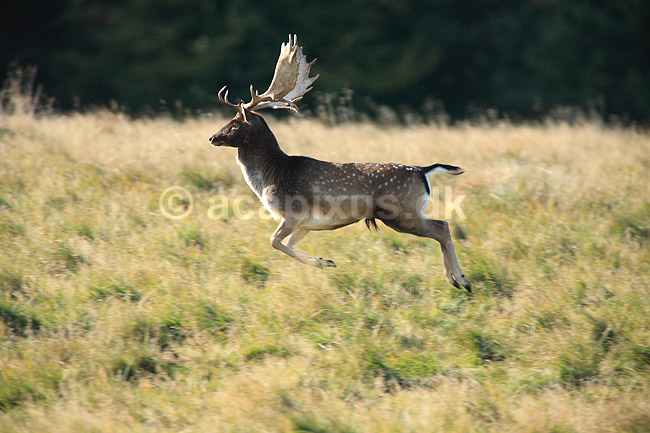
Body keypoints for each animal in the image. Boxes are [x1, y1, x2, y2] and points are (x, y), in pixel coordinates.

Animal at [209, 35, 471, 292]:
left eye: (234, 123)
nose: (212, 137)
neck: (270, 177)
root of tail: (422, 171)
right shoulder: (304, 224)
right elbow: (286, 245)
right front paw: (322, 262)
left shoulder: (293, 212)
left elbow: (273, 241)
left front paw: (326, 261)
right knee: (442, 227)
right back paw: (455, 279)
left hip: (401, 211)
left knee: (442, 227)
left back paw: (461, 280)